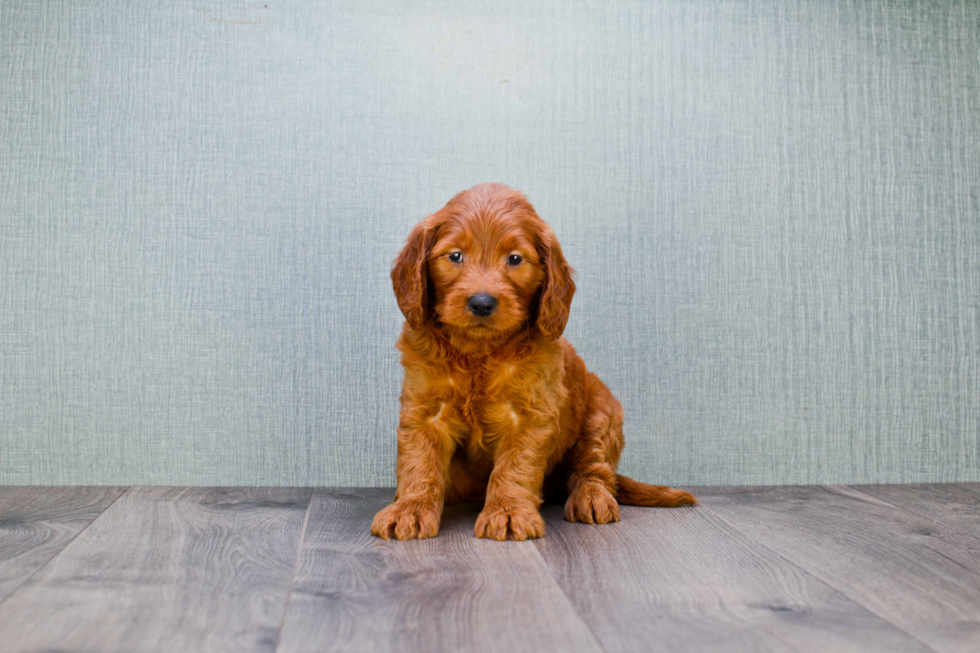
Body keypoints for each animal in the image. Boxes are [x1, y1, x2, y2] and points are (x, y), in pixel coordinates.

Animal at [370, 182, 696, 540]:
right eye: (455, 256)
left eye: (515, 259)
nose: (481, 303)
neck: (479, 352)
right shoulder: (426, 412)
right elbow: (419, 461)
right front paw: (410, 509)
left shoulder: (528, 415)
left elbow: (515, 466)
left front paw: (508, 513)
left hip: (602, 411)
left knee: (594, 468)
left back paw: (592, 498)